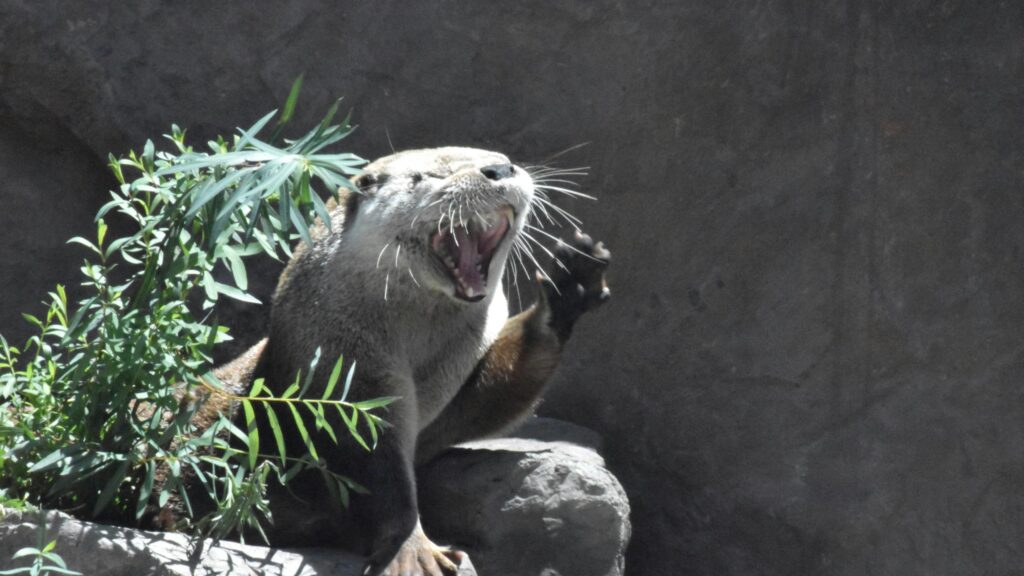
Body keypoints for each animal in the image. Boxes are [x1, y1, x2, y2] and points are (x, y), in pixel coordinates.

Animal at [165, 147, 611, 576]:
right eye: (431, 174)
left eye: (505, 159)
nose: (499, 169)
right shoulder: (346, 381)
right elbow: (378, 478)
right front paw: (414, 553)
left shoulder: (448, 398)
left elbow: (494, 397)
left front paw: (570, 283)